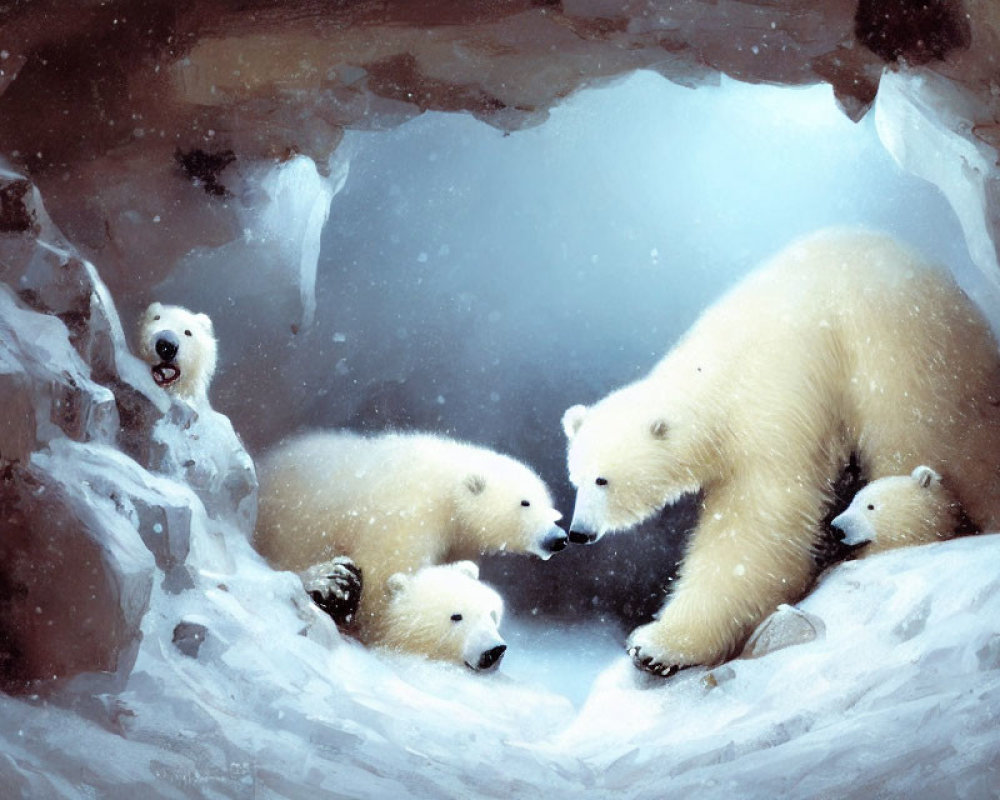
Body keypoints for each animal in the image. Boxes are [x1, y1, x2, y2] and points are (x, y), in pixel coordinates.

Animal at [256, 432, 572, 648]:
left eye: (550, 507)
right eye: (525, 503)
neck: (447, 491)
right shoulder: (406, 516)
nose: (558, 538)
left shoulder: (455, 539)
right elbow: (387, 578)